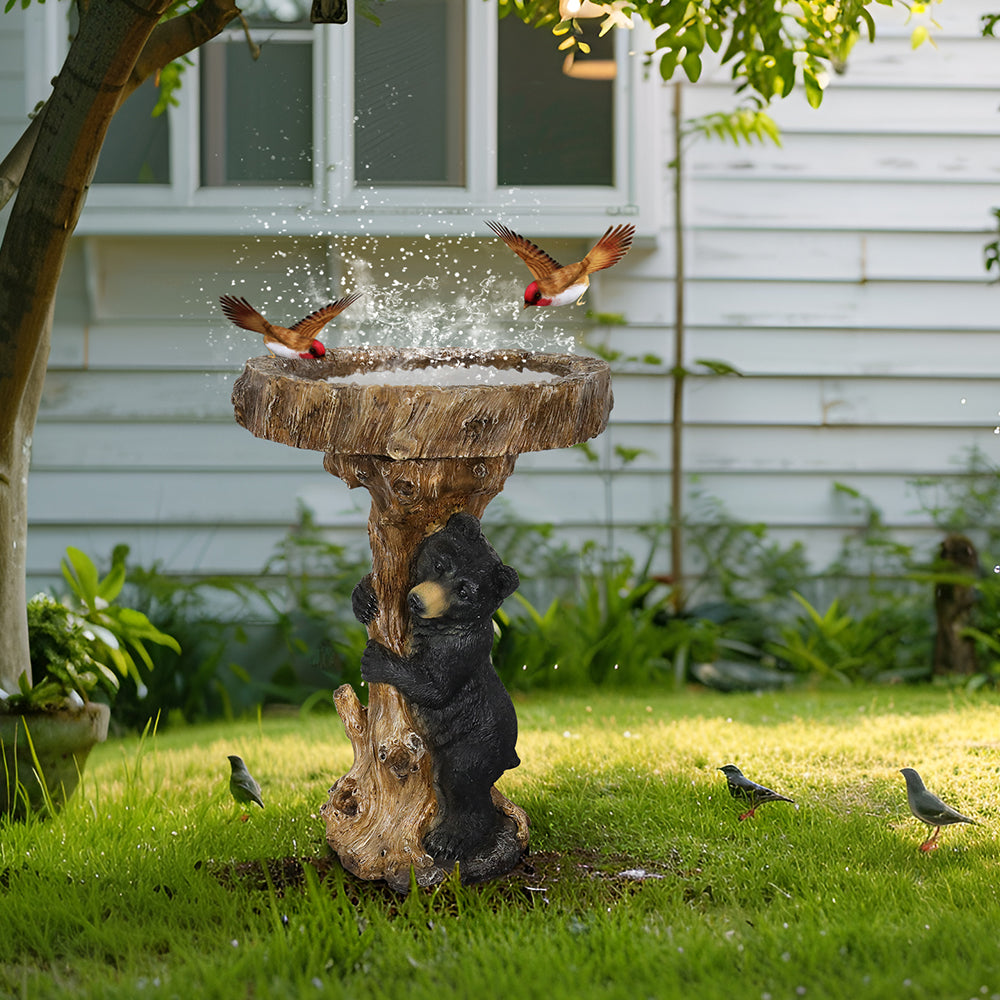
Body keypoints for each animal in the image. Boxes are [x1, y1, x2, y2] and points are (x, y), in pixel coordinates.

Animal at [351, 511, 520, 864]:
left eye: (464, 591)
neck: (438, 624)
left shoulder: (461, 648)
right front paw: (365, 597)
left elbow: (435, 686)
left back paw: (450, 841)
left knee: (463, 780)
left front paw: (376, 659)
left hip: (480, 740)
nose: (418, 600)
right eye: (441, 563)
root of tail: (511, 753)